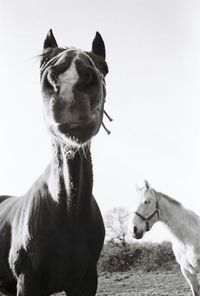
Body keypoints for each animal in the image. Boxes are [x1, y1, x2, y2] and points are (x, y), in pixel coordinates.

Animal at [0, 30, 109, 296]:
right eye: (43, 63)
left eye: (104, 66)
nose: (70, 85)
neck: (67, 210)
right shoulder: (27, 283)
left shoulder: (86, 283)